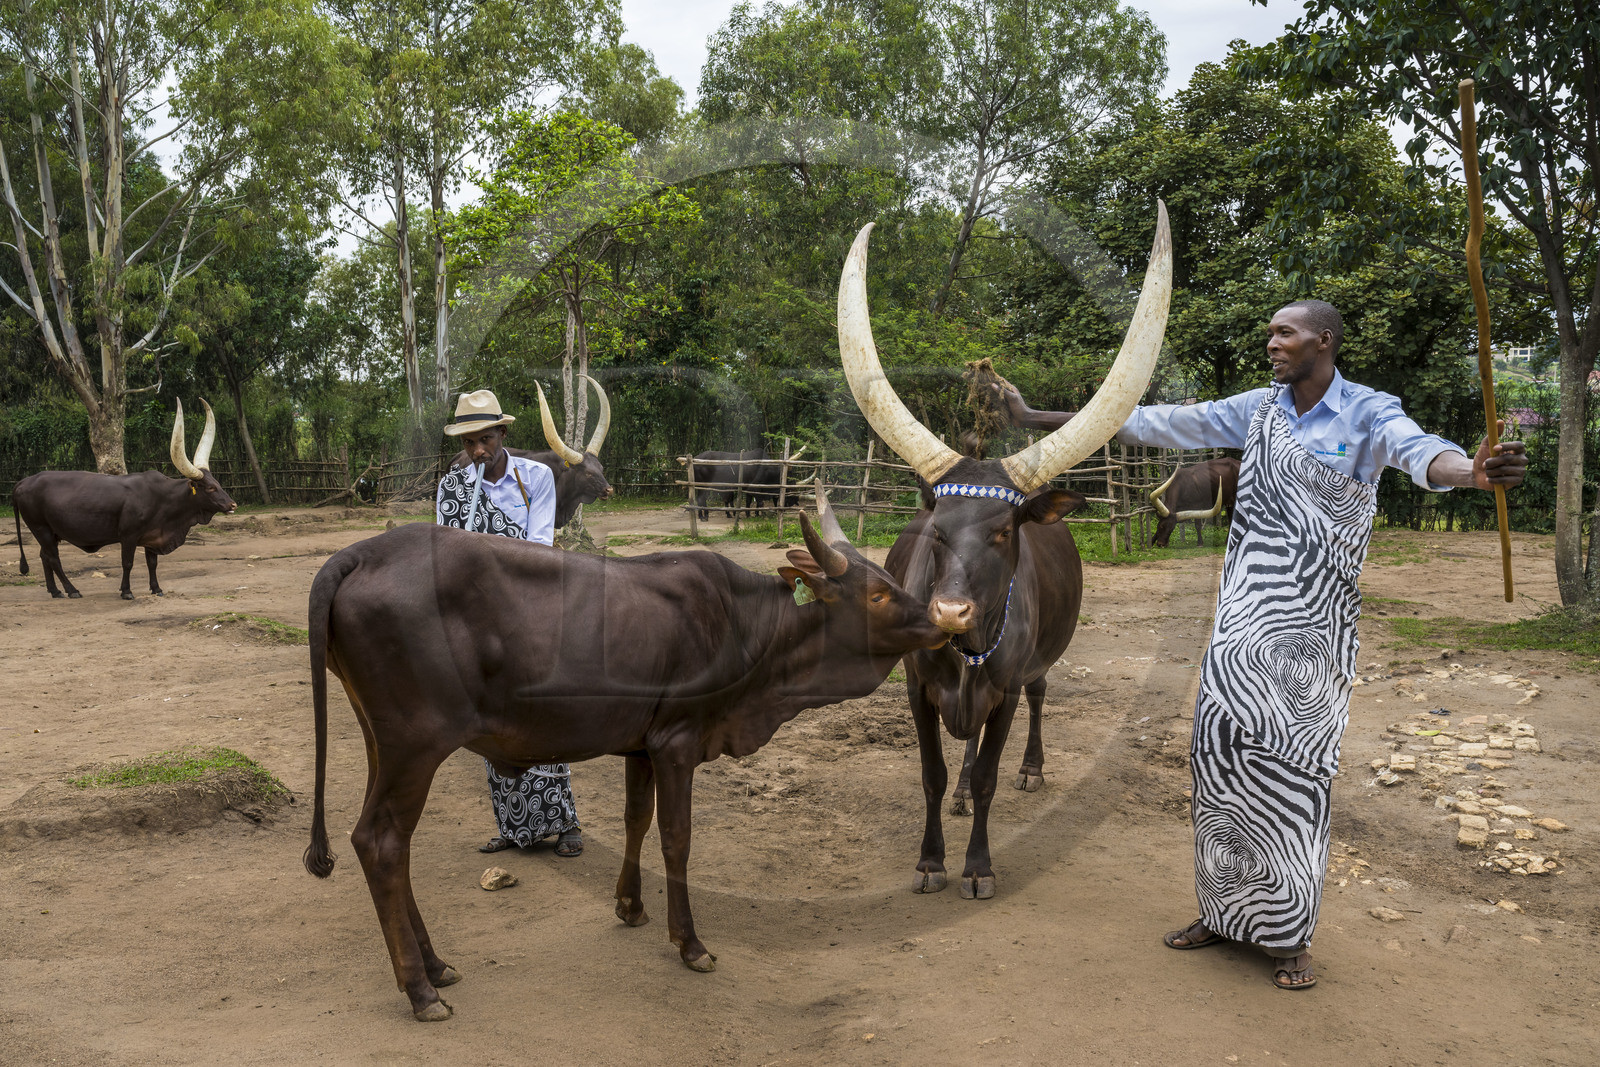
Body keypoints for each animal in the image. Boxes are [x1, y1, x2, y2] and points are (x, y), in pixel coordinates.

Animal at [12, 400, 238, 600]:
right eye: (210, 488)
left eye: (218, 483)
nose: (232, 504)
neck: (165, 499)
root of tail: (24, 481)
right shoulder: (128, 535)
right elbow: (127, 563)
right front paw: (126, 591)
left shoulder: (153, 536)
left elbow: (152, 563)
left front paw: (156, 589)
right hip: (40, 528)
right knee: (53, 558)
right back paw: (71, 590)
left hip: (51, 532)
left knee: (44, 557)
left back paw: (55, 591)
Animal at [302, 485, 946, 1021]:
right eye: (880, 594)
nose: (946, 617)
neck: (757, 639)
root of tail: (359, 554)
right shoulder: (678, 741)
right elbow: (676, 837)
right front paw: (690, 943)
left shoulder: (642, 744)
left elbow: (637, 819)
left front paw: (630, 906)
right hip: (417, 744)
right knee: (381, 842)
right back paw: (420, 989)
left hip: (382, 741)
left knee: (388, 842)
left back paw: (436, 967)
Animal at [834, 205, 1170, 899]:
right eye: (936, 530)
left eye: (1003, 533)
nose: (950, 613)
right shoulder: (917, 690)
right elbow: (932, 775)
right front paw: (931, 860)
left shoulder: (1007, 690)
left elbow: (992, 774)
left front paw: (978, 866)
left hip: (1037, 667)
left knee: (1040, 698)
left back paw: (1033, 769)